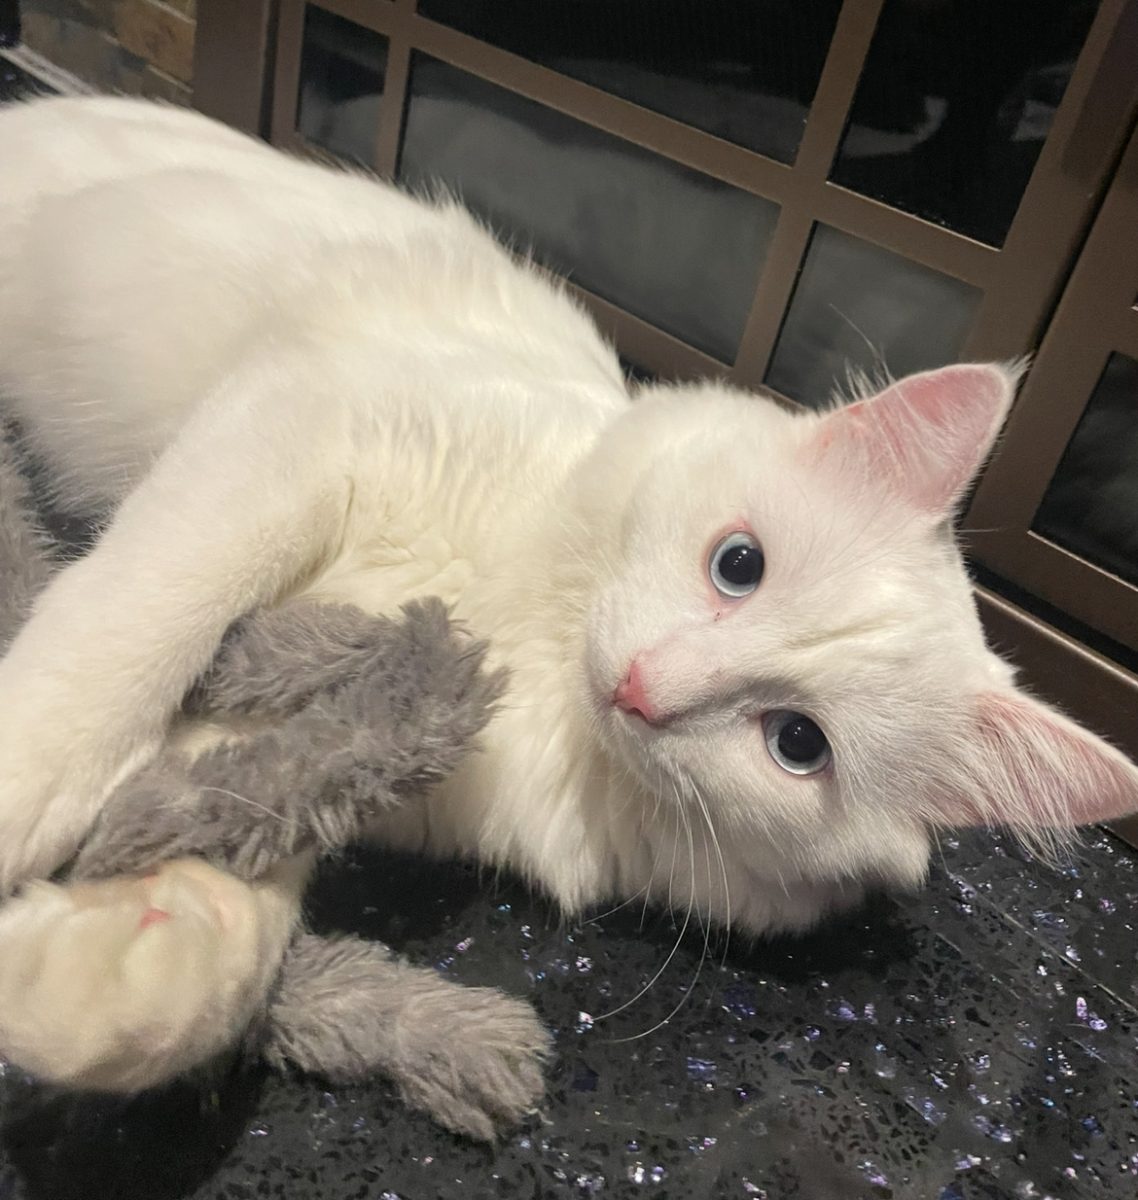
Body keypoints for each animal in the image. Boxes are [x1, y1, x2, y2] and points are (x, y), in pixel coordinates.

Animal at [0, 98, 1133, 1099]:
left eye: (798, 745)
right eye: (738, 565)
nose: (641, 688)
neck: (533, 639)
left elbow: (229, 855)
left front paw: (99, 971)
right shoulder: (296, 438)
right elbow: (140, 616)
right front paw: (27, 789)